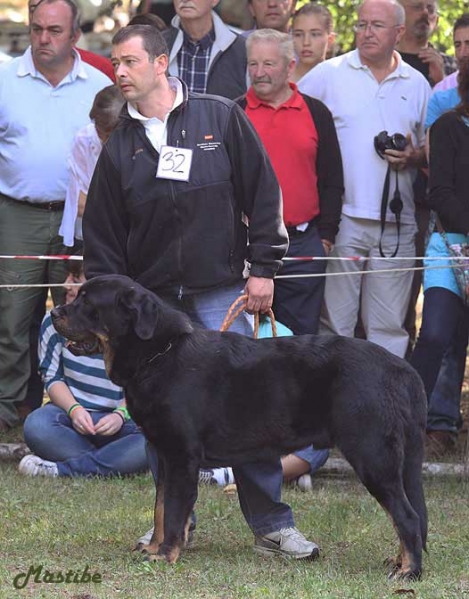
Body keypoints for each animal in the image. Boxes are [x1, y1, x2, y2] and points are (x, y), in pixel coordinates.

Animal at [52, 276, 428, 580]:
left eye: (87, 302)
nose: (55, 312)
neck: (158, 355)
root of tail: (401, 368)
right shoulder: (164, 454)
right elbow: (160, 509)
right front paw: (154, 547)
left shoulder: (182, 457)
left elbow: (173, 512)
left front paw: (166, 554)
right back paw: (399, 562)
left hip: (372, 454)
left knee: (406, 516)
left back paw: (408, 572)